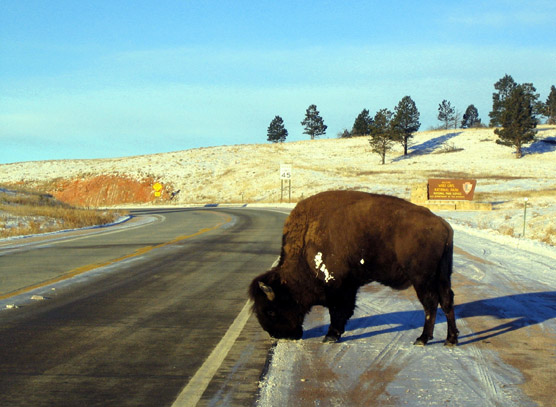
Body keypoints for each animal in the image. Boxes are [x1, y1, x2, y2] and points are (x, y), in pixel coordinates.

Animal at [250, 191, 458, 348]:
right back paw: (451, 339)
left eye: (271, 311)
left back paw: (422, 339)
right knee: (447, 300)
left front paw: (330, 336)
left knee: (430, 303)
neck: (306, 242)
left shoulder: (338, 287)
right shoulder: (348, 287)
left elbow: (338, 311)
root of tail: (442, 224)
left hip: (422, 278)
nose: (277, 335)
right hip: (443, 275)